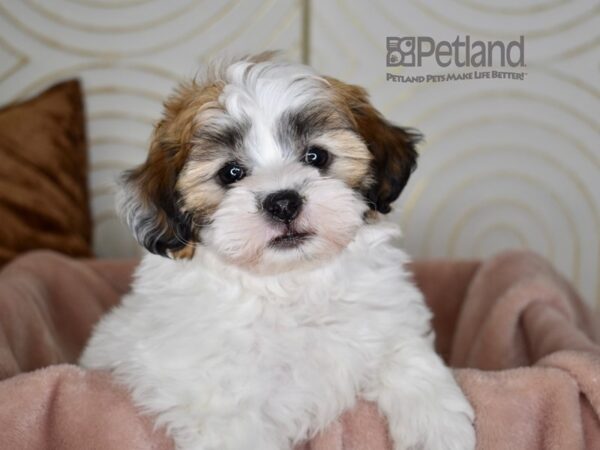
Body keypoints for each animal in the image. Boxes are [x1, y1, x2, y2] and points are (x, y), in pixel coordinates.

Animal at [81, 53, 474, 450]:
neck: (290, 285)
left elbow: (407, 356)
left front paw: (439, 427)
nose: (283, 203)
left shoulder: (388, 322)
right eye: (231, 173)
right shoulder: (220, 401)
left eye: (316, 156)